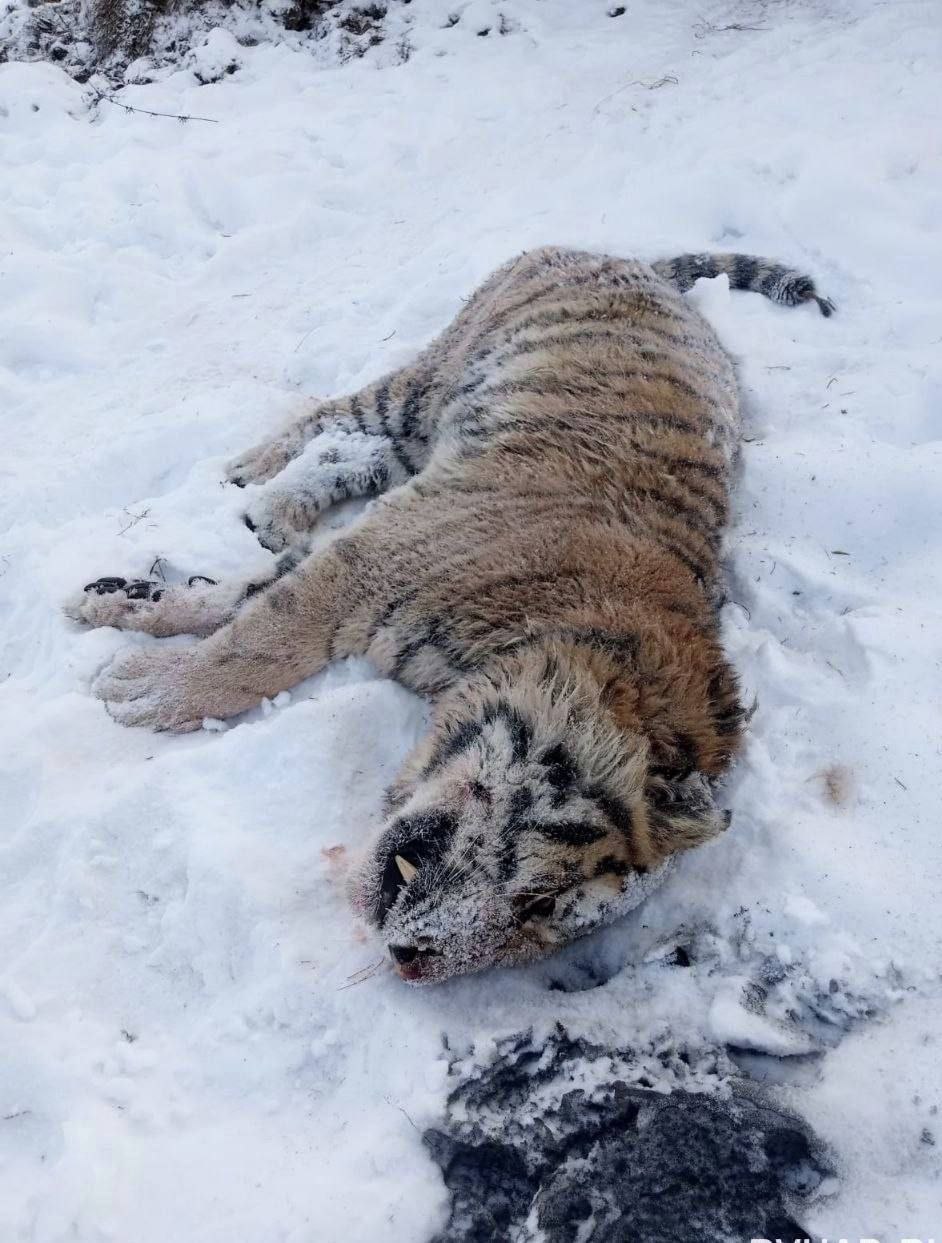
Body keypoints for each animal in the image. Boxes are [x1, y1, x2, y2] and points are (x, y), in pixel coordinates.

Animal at [66, 244, 835, 979]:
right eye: (542, 891)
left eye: (541, 918)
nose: (414, 960)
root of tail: (628, 259)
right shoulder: (370, 560)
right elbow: (254, 645)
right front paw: (142, 689)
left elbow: (243, 600)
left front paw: (119, 604)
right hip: (427, 384)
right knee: (329, 415)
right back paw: (250, 470)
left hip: (420, 440)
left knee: (354, 456)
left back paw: (275, 512)